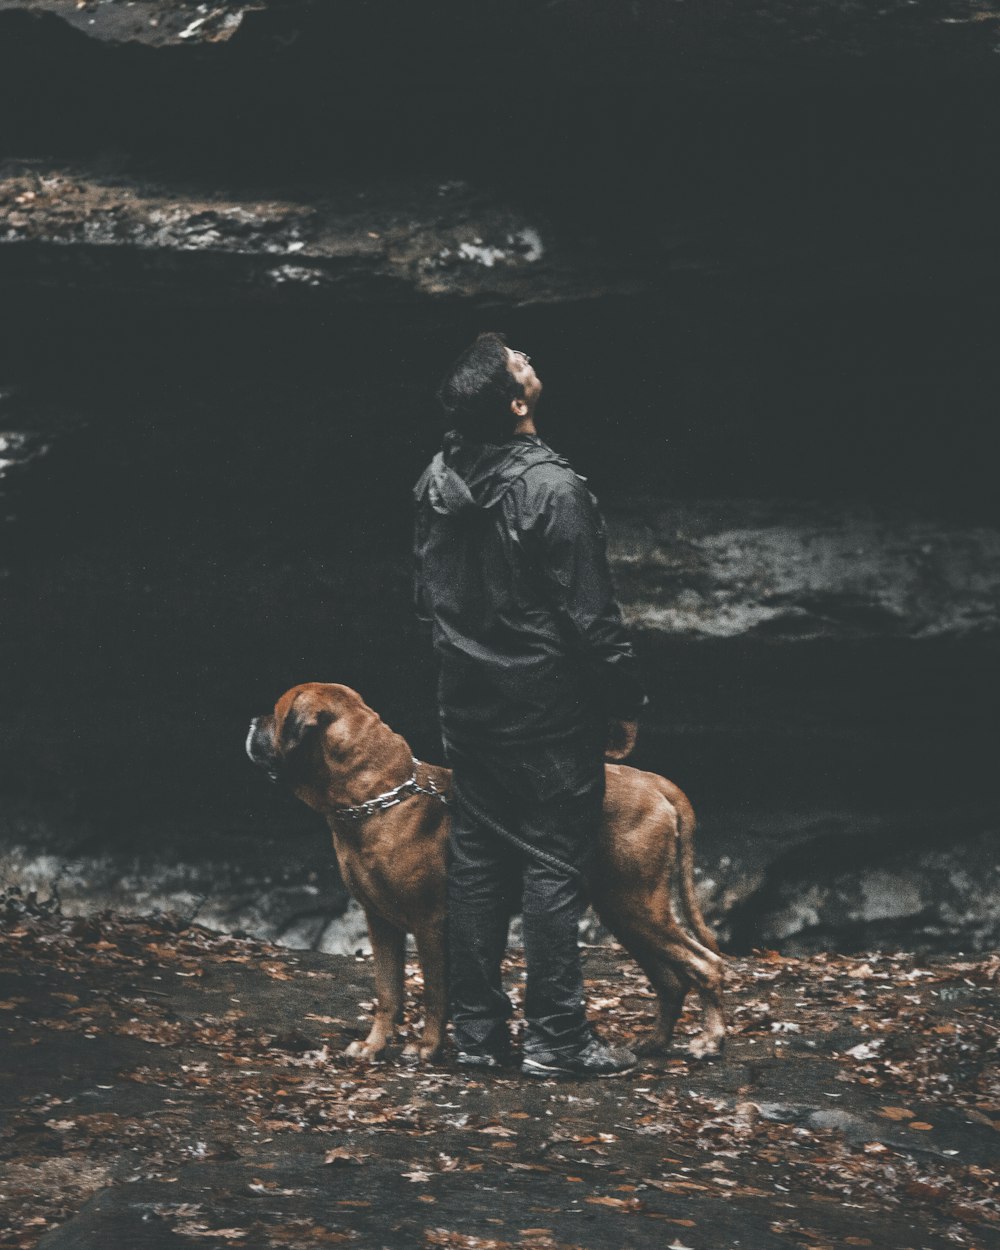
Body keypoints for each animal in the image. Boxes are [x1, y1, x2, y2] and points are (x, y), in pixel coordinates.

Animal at [246, 685, 725, 1065]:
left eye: (276, 711)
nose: (252, 719)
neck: (380, 795)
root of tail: (655, 781)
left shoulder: (431, 925)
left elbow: (436, 992)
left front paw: (427, 1048)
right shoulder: (380, 924)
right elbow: (388, 993)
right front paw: (374, 1045)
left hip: (639, 906)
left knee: (707, 965)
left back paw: (709, 1041)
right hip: (625, 913)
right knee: (671, 981)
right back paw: (655, 1042)